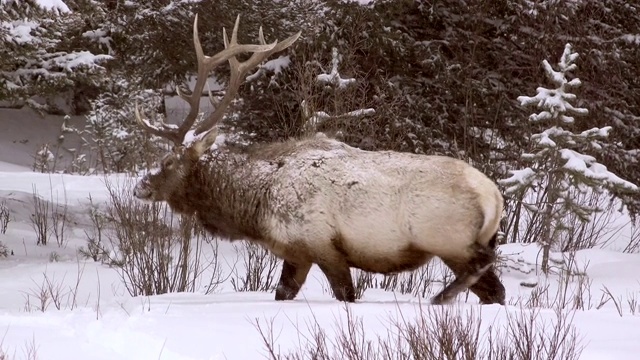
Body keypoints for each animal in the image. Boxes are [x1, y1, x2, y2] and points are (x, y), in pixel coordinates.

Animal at [132, 14, 508, 306]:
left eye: (168, 162)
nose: (140, 186)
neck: (256, 205)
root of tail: (495, 196)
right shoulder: (296, 252)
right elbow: (283, 293)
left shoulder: (321, 243)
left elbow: (345, 294)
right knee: (494, 290)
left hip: (448, 239)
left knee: (487, 276)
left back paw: (439, 298)